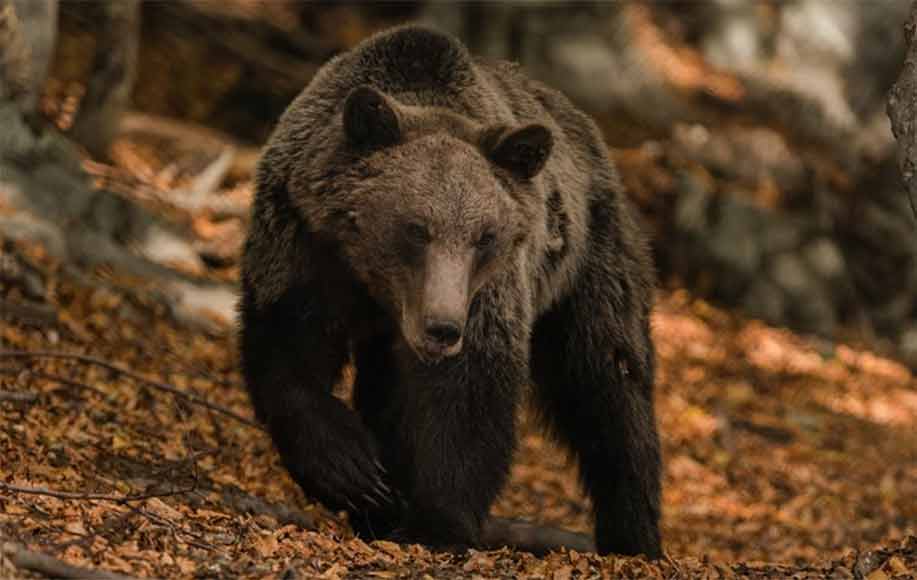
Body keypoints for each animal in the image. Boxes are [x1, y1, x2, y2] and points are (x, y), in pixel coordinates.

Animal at [240, 23, 660, 556]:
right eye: (416, 228)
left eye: (485, 235)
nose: (442, 328)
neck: (376, 282)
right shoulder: (303, 243)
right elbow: (291, 350)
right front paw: (352, 471)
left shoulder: (489, 289)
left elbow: (468, 395)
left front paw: (436, 522)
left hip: (588, 262)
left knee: (608, 382)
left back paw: (634, 534)